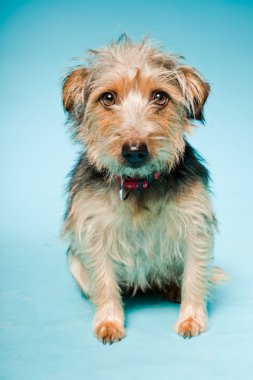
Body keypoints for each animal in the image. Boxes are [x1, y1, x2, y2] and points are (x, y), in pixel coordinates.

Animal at [62, 35, 224, 344]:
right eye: (108, 98)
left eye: (160, 97)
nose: (135, 150)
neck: (138, 184)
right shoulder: (94, 232)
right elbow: (104, 281)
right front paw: (109, 321)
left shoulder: (195, 226)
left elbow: (195, 276)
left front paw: (191, 318)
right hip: (75, 264)